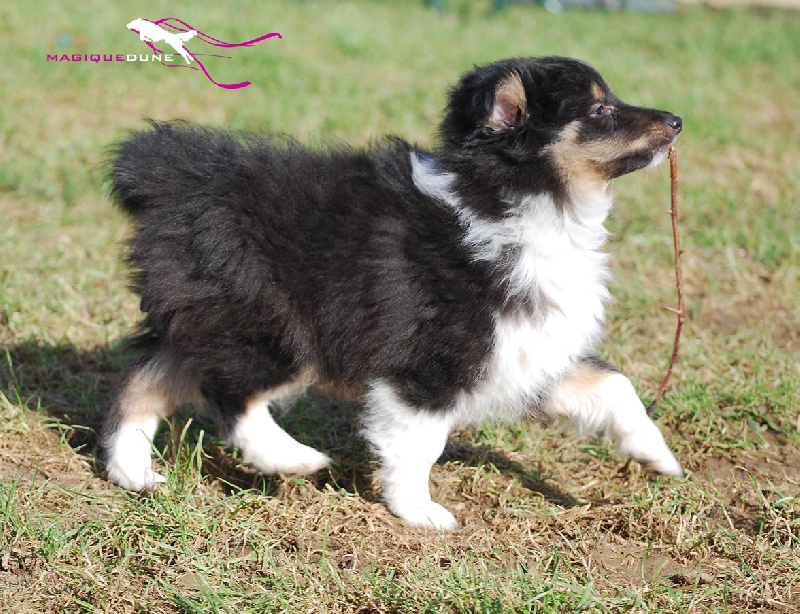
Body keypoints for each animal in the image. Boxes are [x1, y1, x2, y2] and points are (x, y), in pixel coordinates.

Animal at [103, 55, 684, 532]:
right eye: (601, 110)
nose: (677, 120)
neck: (521, 206)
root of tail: (174, 180)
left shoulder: (527, 347)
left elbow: (616, 388)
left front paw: (660, 458)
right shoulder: (434, 362)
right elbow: (419, 443)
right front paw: (420, 512)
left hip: (207, 316)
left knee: (144, 381)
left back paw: (132, 472)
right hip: (271, 324)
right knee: (228, 394)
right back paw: (293, 459)